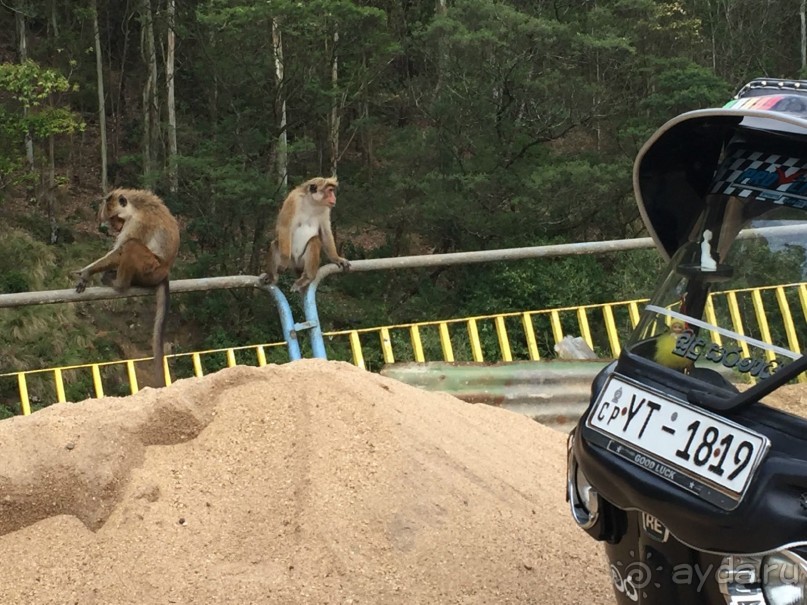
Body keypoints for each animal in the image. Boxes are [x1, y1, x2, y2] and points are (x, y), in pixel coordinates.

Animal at [72, 188, 180, 386]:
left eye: (116, 218)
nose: (115, 228)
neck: (136, 207)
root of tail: (164, 272)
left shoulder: (138, 222)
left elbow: (120, 250)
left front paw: (87, 272)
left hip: (149, 269)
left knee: (132, 246)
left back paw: (118, 284)